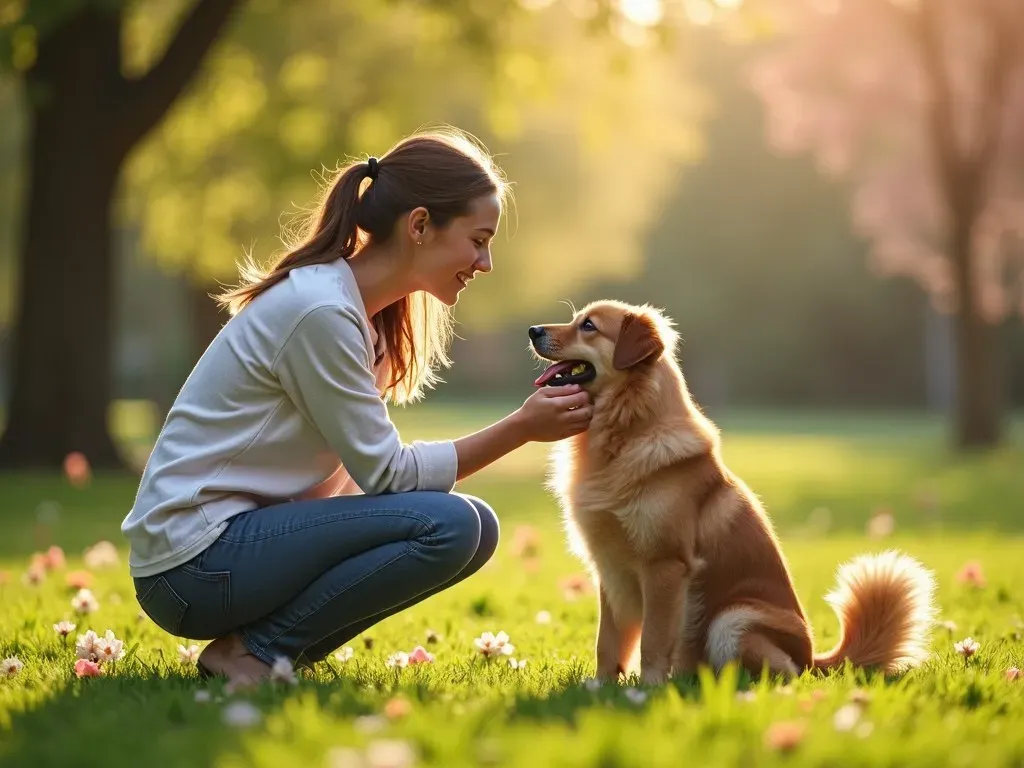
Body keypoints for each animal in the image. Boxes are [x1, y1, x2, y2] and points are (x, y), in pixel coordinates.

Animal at [528, 299, 937, 684]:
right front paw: (601, 686)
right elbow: (608, 641)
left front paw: (648, 688)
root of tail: (815, 661)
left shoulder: (665, 566)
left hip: (732, 619)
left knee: (778, 674)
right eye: (577, 319)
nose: (532, 330)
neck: (625, 432)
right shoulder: (612, 571)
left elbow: (654, 641)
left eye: (589, 326)